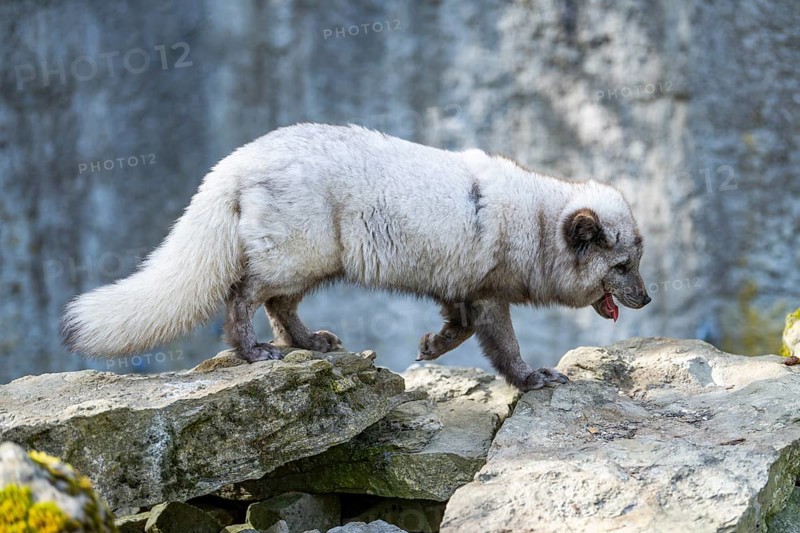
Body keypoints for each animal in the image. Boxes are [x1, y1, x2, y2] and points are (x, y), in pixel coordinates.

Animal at [61, 123, 650, 392]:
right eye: (622, 266)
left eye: (637, 262)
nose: (646, 299)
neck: (535, 225)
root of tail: (234, 162)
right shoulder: (486, 293)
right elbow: (503, 346)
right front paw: (531, 379)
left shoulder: (458, 289)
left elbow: (457, 329)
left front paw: (430, 346)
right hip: (296, 255)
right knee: (242, 296)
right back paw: (253, 352)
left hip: (313, 263)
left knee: (279, 306)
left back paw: (307, 344)